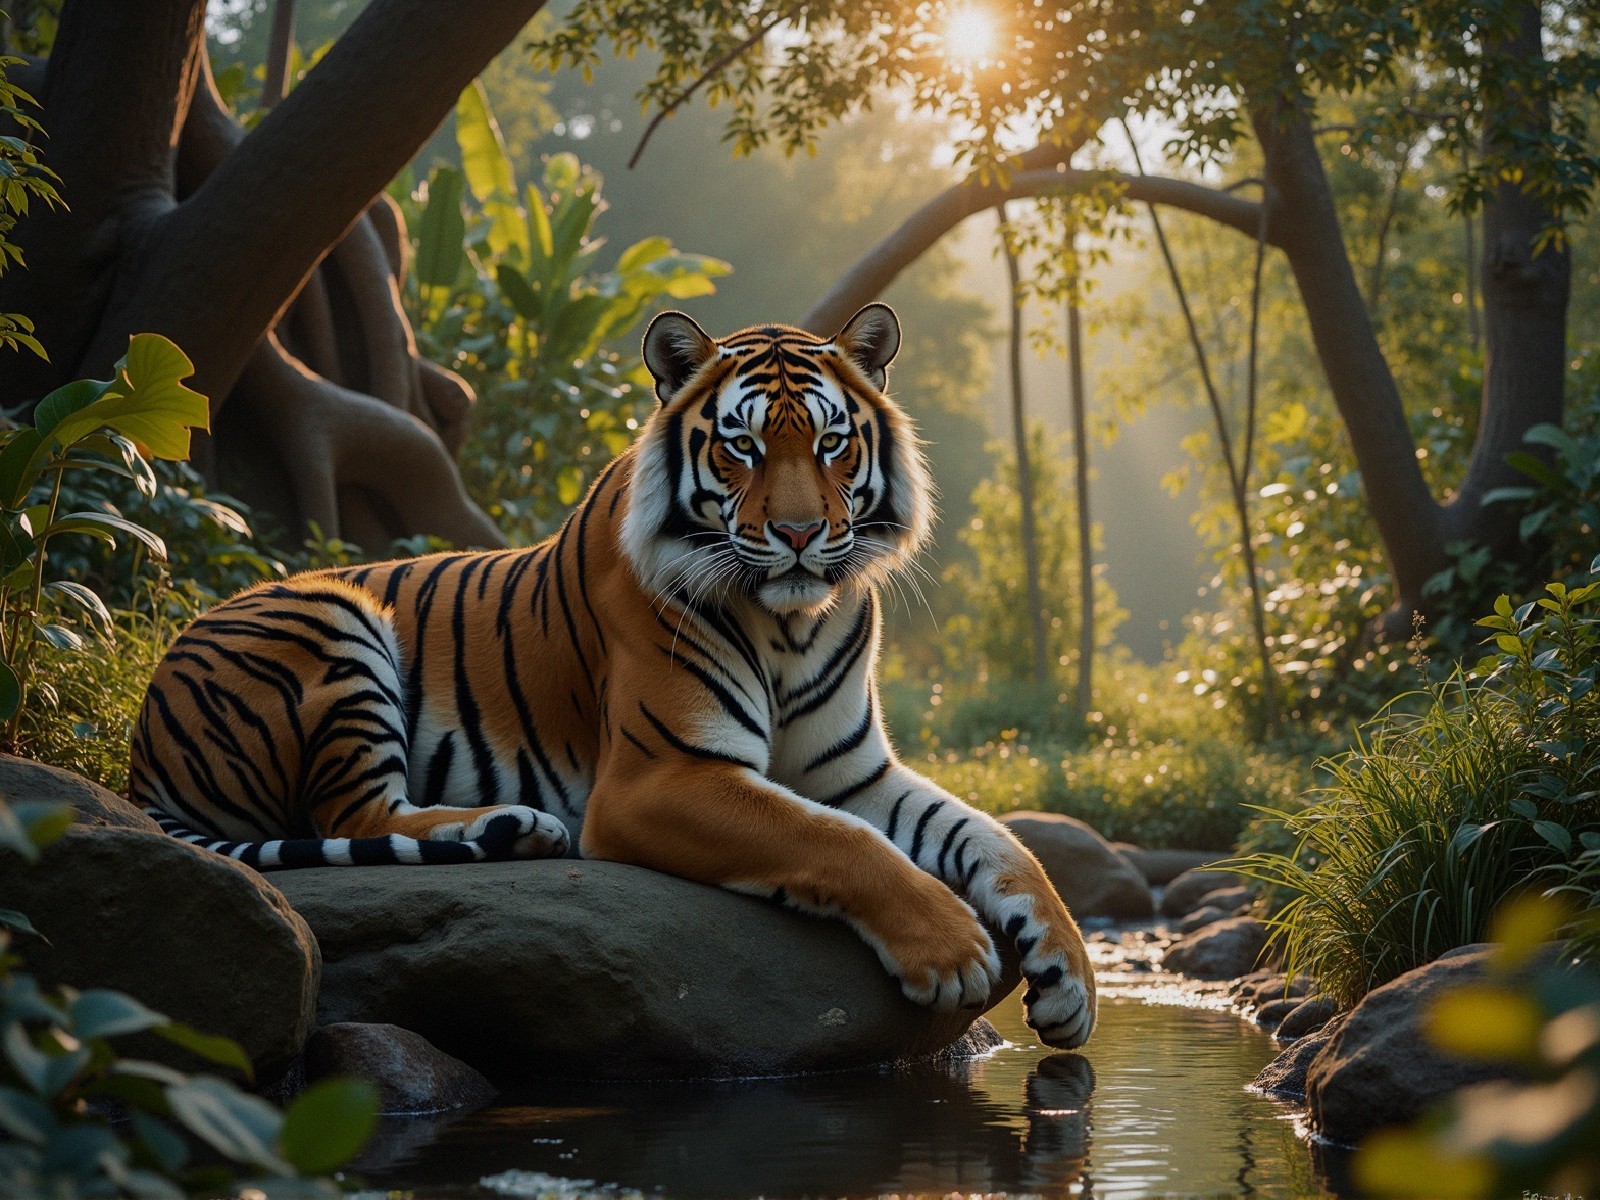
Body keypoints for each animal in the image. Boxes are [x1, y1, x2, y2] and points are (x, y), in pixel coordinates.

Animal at [130, 304, 1097, 1047]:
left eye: (830, 444)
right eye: (743, 448)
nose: (796, 535)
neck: (792, 622)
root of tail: (142, 740)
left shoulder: (852, 772)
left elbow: (998, 840)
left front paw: (1068, 977)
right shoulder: (658, 777)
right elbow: (835, 840)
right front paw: (953, 950)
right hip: (334, 616)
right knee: (352, 814)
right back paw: (510, 825)